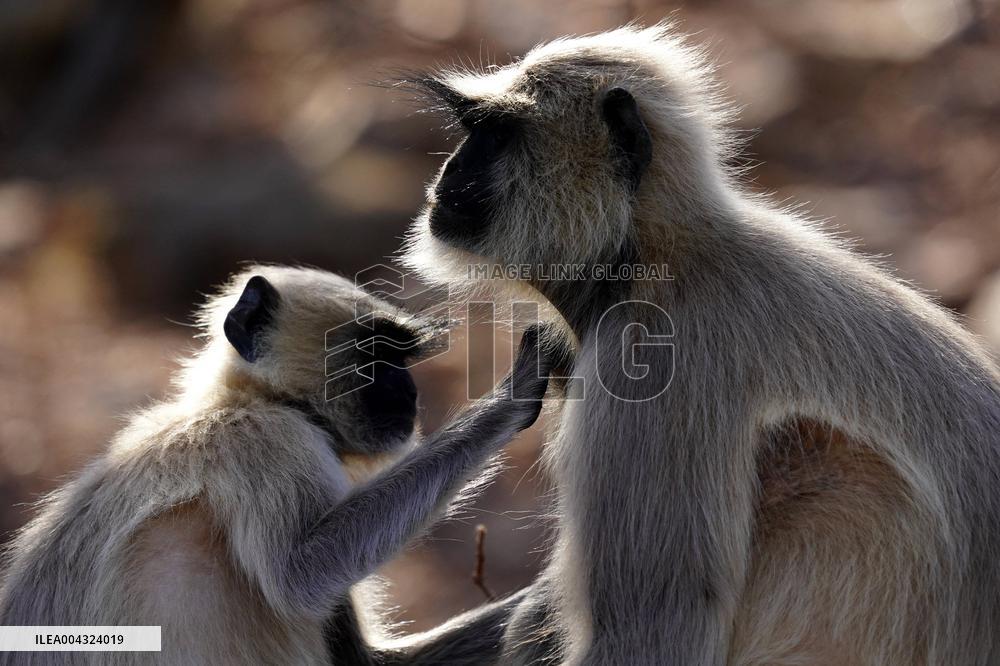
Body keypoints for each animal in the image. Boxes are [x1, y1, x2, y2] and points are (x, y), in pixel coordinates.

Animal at [0, 265, 559, 665]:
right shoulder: (270, 443)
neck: (255, 399)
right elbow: (301, 575)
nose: (409, 390)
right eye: (373, 354)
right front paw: (513, 395)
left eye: (399, 357)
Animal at [401, 24, 1000, 666]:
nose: (448, 173)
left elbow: (655, 633)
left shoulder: (649, 358)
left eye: (495, 135)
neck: (654, 258)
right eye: (471, 133)